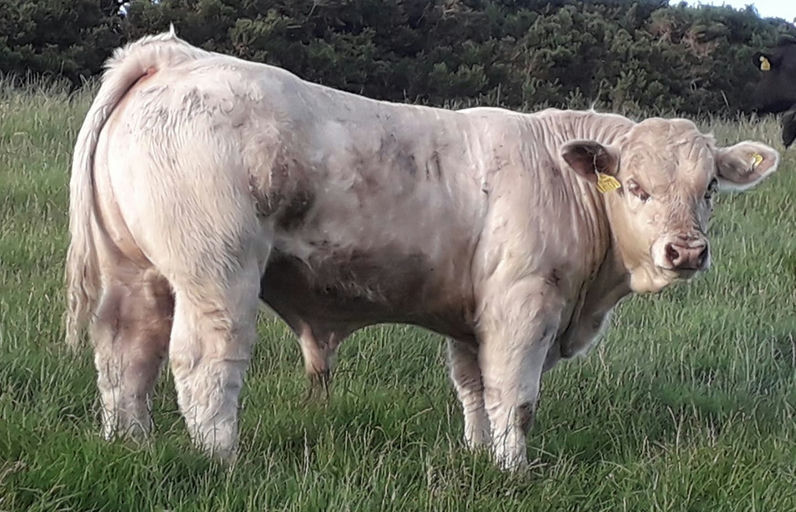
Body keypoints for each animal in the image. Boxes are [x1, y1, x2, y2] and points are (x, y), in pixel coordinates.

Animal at [66, 30, 780, 470]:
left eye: (709, 188)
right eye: (634, 187)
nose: (685, 251)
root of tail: (177, 56)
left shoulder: (474, 319)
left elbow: (473, 390)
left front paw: (478, 458)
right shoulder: (522, 309)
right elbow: (514, 396)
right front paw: (515, 472)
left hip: (136, 274)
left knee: (126, 353)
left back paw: (130, 445)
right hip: (215, 274)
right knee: (203, 362)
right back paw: (222, 461)